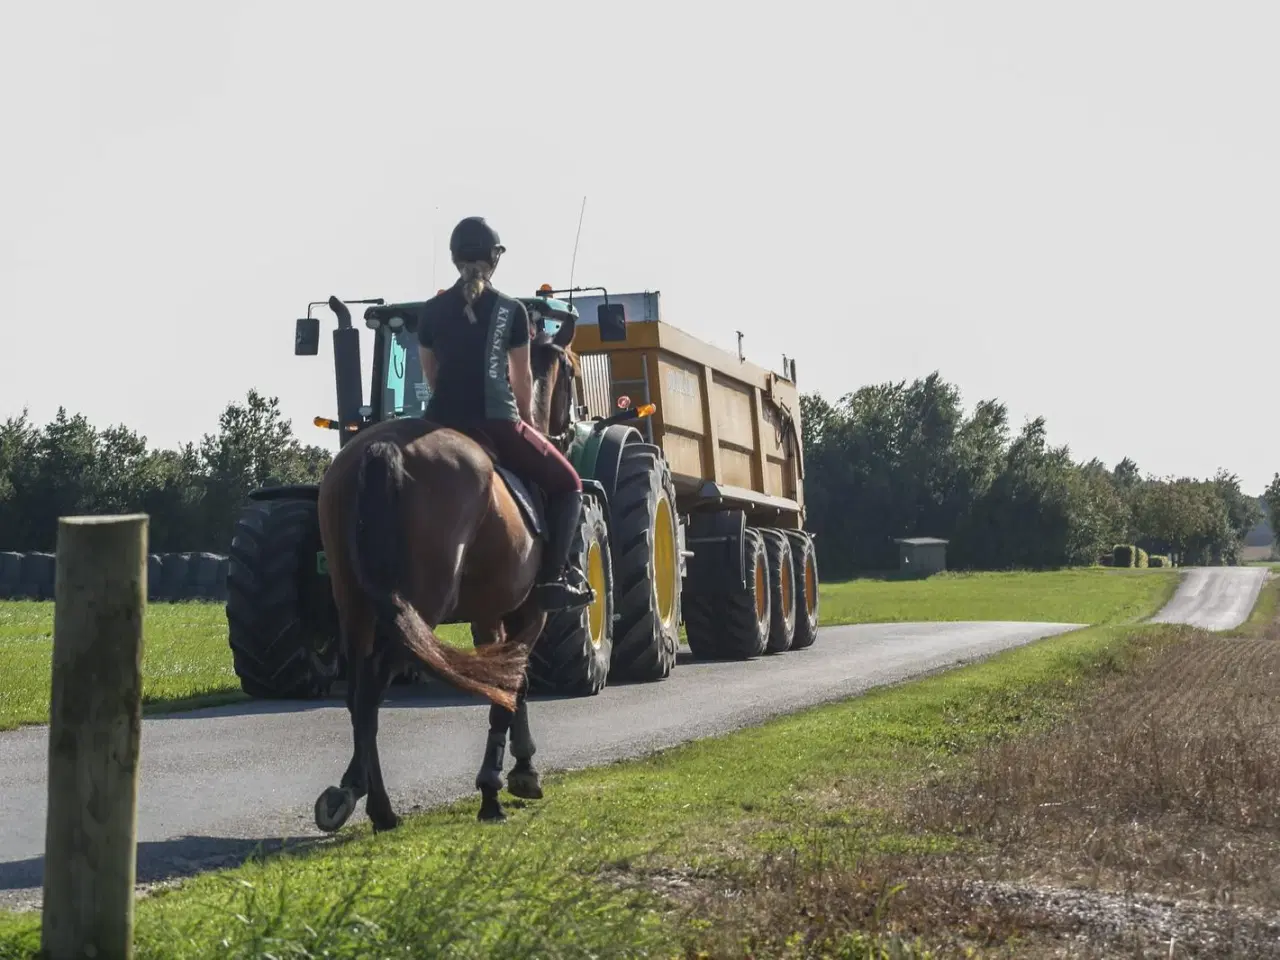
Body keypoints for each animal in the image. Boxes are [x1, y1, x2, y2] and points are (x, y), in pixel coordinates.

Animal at [313, 309, 581, 834]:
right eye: (573, 373)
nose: (567, 432)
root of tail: (383, 448)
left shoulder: (488, 614)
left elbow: (504, 683)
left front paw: (515, 771)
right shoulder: (529, 612)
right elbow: (510, 684)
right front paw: (499, 784)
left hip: (354, 603)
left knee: (357, 692)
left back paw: (354, 792)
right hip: (421, 605)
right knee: (372, 689)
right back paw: (382, 810)